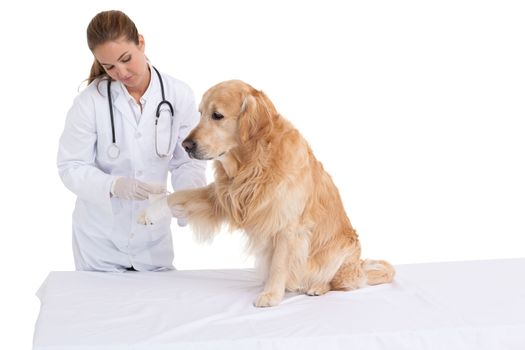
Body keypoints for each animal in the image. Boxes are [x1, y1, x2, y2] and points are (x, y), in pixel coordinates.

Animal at [139, 80, 392, 308]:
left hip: (341, 251)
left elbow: (280, 263)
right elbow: (179, 195)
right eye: (200, 114)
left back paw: (317, 287)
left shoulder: (288, 225)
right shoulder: (223, 198)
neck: (253, 163)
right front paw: (150, 212)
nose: (186, 145)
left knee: (338, 282)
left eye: (217, 115)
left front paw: (271, 295)